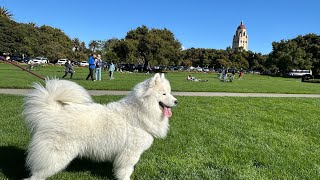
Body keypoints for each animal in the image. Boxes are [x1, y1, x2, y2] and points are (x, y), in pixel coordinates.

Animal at [22, 72, 178, 179]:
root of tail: (53, 111)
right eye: (164, 94)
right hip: (57, 155)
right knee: (36, 175)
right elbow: (126, 171)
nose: (177, 101)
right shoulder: (129, 153)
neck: (140, 112)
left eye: (170, 93)